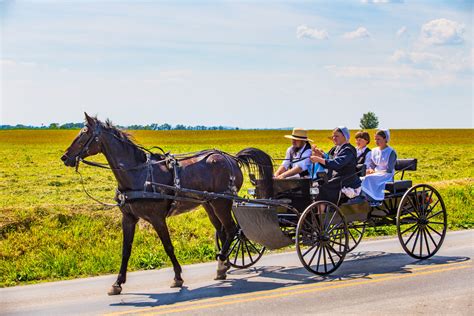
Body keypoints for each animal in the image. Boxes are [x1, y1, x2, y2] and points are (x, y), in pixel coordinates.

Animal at [61, 113, 272, 294]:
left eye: (84, 134)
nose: (65, 157)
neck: (138, 174)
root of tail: (231, 158)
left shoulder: (157, 218)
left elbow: (168, 246)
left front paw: (178, 277)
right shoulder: (128, 218)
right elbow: (125, 250)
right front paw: (117, 283)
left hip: (222, 202)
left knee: (232, 229)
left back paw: (221, 263)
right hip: (209, 203)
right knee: (222, 231)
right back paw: (224, 264)